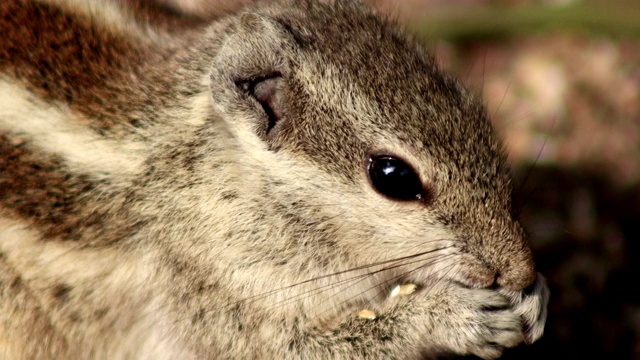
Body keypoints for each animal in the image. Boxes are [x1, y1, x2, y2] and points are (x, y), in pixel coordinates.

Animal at [1, 1, 552, 358]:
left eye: (475, 110)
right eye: (393, 177)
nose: (521, 271)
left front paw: (538, 300)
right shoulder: (212, 292)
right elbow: (295, 345)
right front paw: (447, 316)